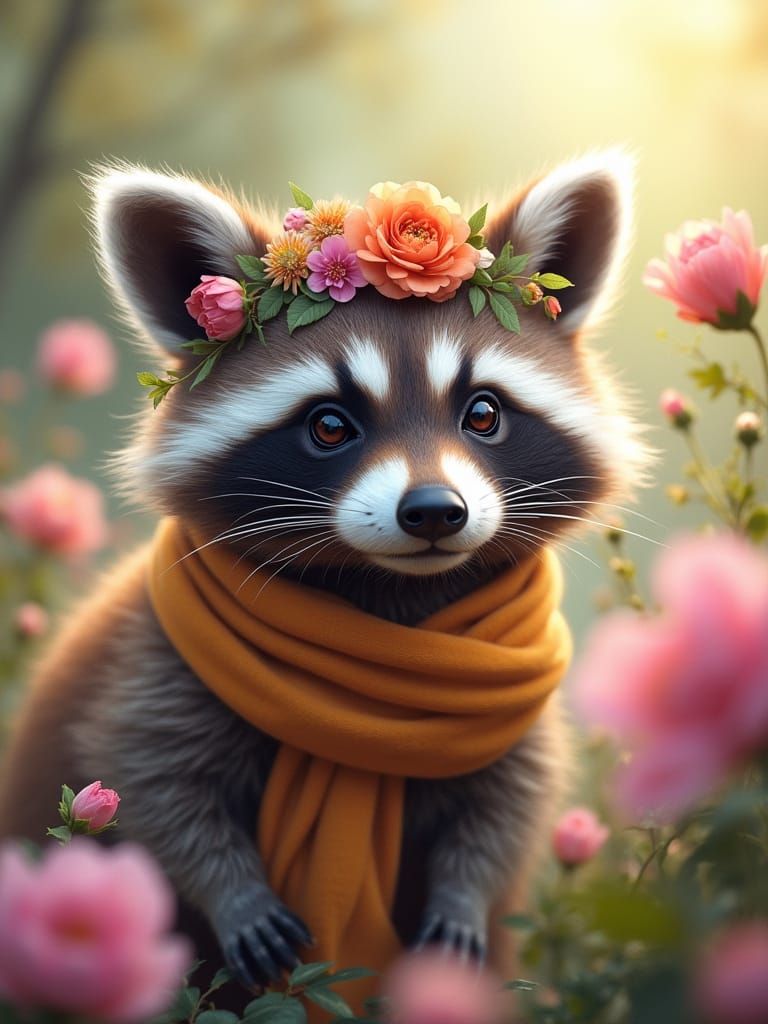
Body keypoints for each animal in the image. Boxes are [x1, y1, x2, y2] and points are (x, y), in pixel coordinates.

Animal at [0, 152, 650, 995]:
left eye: (482, 414)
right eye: (331, 425)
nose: (434, 512)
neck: (389, 593)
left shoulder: (511, 712)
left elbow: (510, 800)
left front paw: (465, 896)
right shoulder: (155, 662)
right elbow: (147, 775)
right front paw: (232, 891)